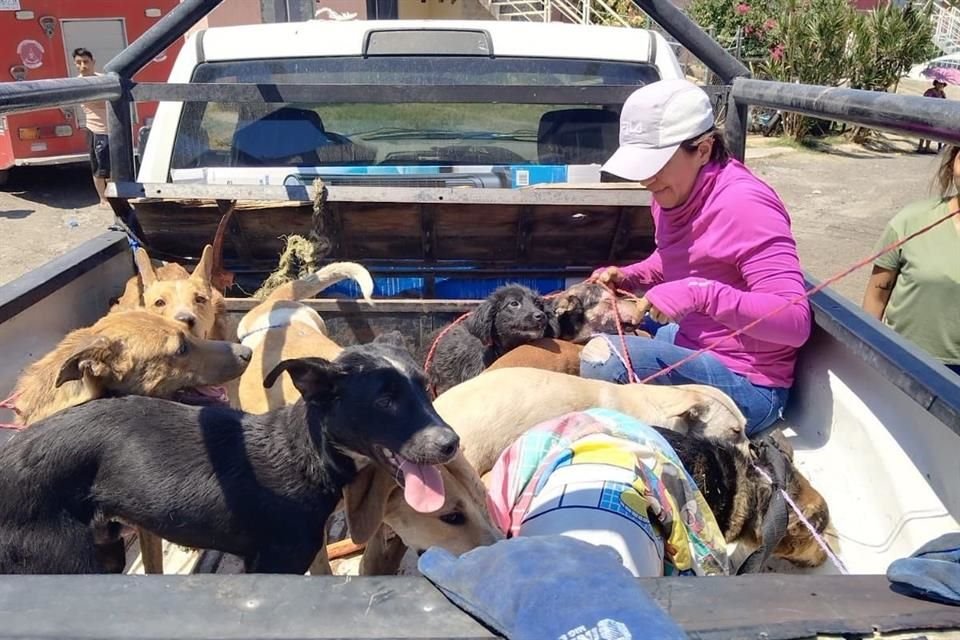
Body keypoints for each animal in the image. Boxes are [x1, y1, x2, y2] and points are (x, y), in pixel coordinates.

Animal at [0, 340, 462, 576]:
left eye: (425, 387)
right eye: (385, 400)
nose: (451, 443)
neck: (303, 456)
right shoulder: (273, 566)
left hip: (105, 546)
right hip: (64, 559)